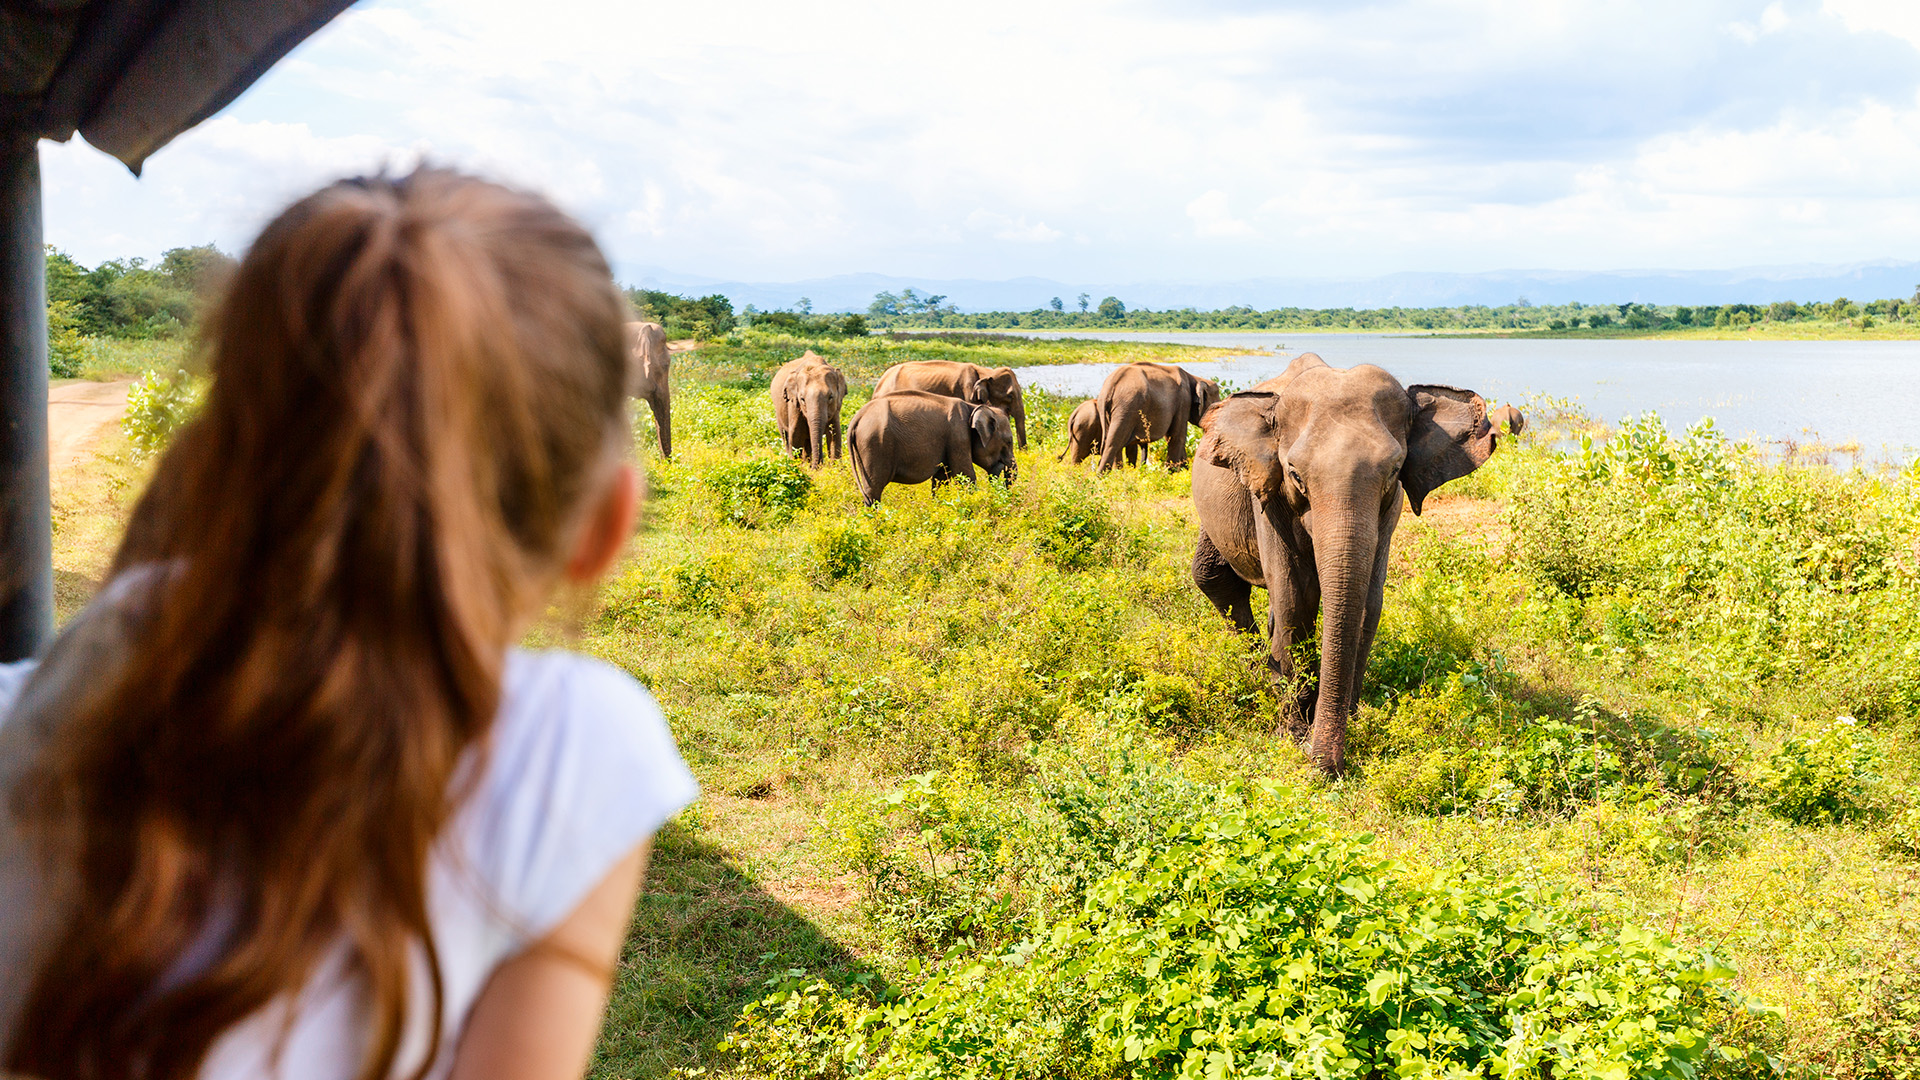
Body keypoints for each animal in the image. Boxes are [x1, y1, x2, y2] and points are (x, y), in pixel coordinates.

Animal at [848, 390, 1017, 505]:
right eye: (1009, 441)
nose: (1001, 465)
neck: (973, 407)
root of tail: (857, 417)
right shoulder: (958, 436)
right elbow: (964, 475)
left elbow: (941, 479)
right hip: (874, 445)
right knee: (874, 490)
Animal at [1189, 353, 1500, 776]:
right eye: (1294, 473)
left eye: (1394, 469)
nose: (1324, 768)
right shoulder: (1268, 497)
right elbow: (1295, 598)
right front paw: (1293, 733)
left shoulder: (1391, 506)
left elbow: (1368, 601)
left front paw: (1345, 722)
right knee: (1215, 578)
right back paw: (1261, 676)